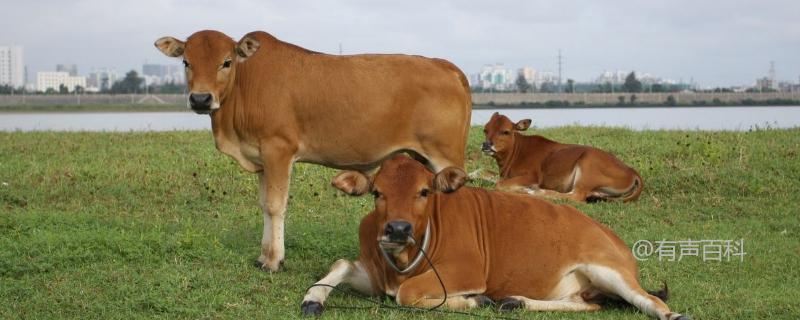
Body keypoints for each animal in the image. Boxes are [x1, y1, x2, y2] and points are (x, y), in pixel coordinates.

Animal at [153, 29, 472, 270]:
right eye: (186, 62)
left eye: (227, 62)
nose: (201, 99)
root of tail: (446, 66)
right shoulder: (262, 158)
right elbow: (264, 205)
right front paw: (263, 256)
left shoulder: (278, 150)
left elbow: (275, 205)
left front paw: (274, 261)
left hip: (445, 156)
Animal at [300, 156, 688, 320]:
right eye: (377, 192)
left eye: (424, 191)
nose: (397, 229)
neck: (401, 262)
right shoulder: (374, 270)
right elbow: (341, 264)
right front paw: (312, 299)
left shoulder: (466, 270)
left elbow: (407, 294)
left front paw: (473, 301)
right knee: (590, 304)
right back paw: (515, 302)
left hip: (607, 268)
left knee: (648, 300)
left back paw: (673, 315)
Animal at [482, 112, 644, 202]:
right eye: (485, 130)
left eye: (505, 131)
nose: (486, 145)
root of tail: (631, 170)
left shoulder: (532, 176)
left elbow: (499, 185)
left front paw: (525, 189)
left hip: (587, 166)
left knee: (576, 197)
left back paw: (536, 192)